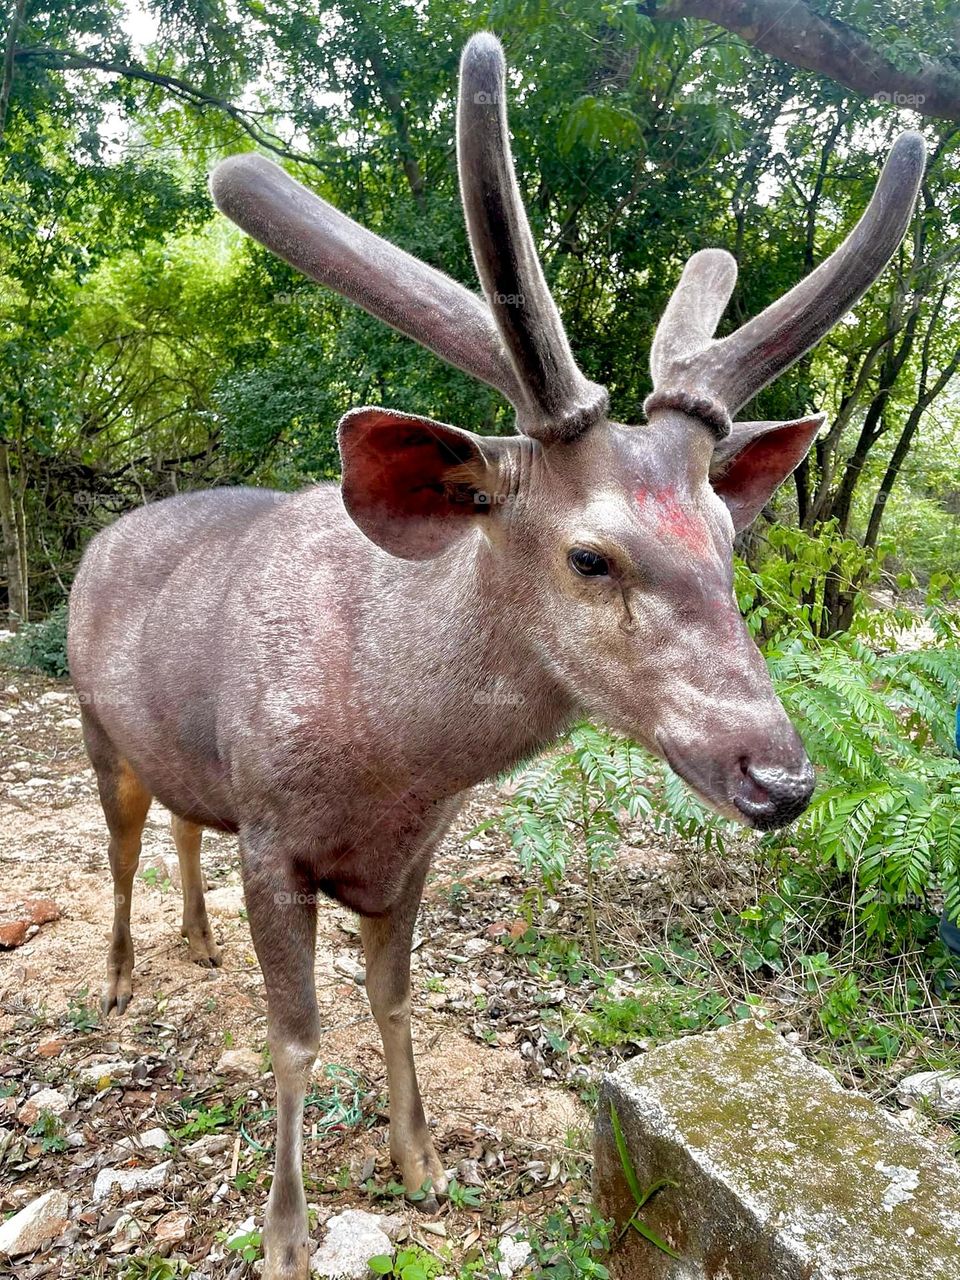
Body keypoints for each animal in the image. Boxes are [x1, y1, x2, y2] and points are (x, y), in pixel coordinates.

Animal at [67, 27, 926, 1280]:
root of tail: (98, 539)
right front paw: (285, 1231)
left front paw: (421, 1159)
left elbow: (393, 996)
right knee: (122, 845)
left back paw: (195, 940)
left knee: (182, 824)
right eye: (590, 555)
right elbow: (296, 1037)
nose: (779, 773)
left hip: (185, 752)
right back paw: (125, 975)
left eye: (727, 540)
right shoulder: (273, 830)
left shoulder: (415, 847)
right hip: (94, 720)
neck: (392, 756)